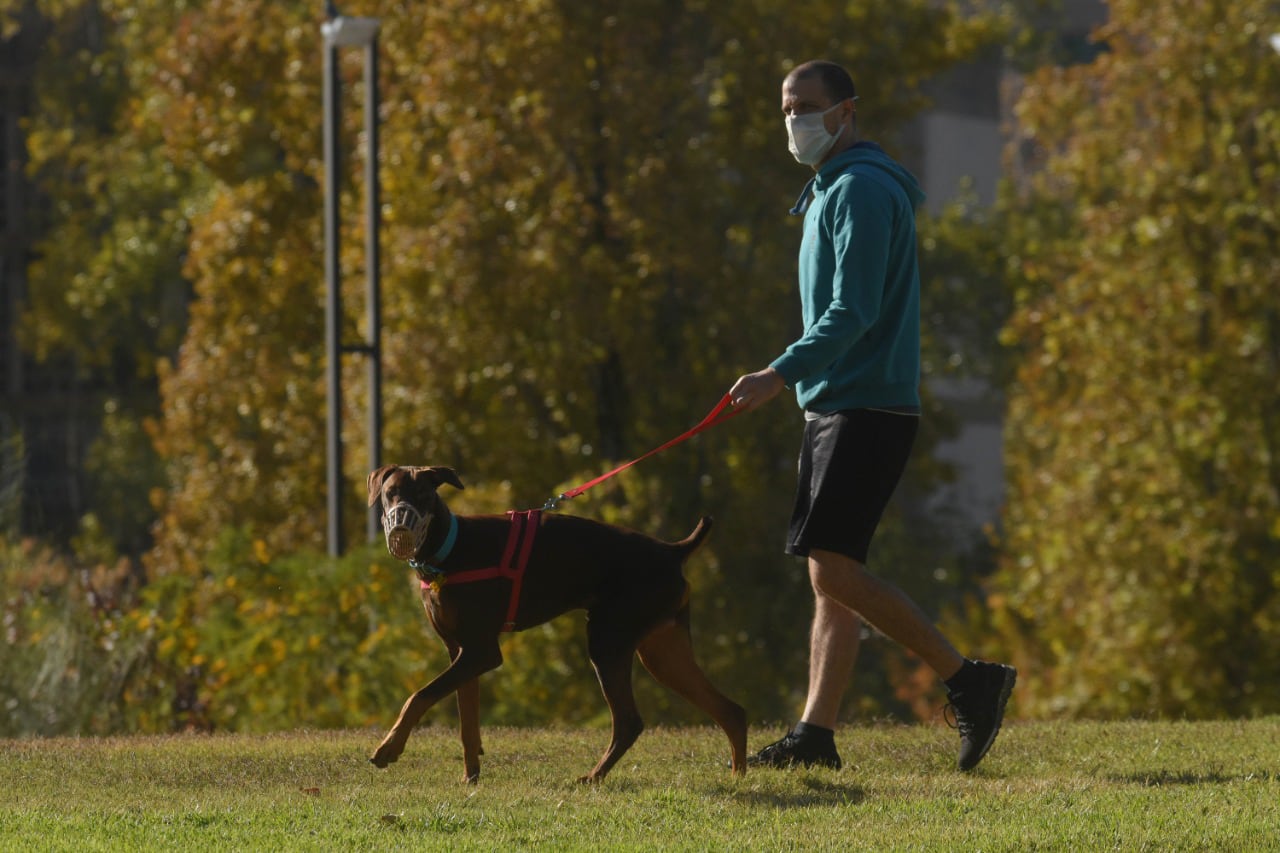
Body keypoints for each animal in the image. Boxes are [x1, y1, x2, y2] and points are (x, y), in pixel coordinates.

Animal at [366, 461, 747, 778]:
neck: (448, 547)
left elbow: (419, 696)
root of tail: (672, 550)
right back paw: (737, 778)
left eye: (424, 495)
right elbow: (467, 722)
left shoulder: (482, 651)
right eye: (390, 493)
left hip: (608, 641)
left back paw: (593, 777)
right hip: (662, 651)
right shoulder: (460, 651)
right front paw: (470, 777)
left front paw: (388, 748)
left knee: (629, 721)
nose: (401, 522)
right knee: (730, 710)